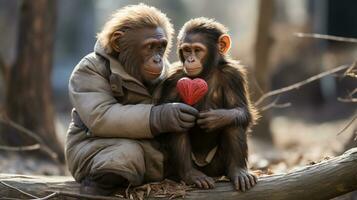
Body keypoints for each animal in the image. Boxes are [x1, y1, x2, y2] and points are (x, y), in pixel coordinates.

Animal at [64, 4, 197, 195]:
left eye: (161, 47)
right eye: (150, 47)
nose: (157, 59)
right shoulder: (86, 70)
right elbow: (104, 114)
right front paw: (169, 115)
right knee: (123, 152)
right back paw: (95, 184)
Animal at [160, 18, 258, 191]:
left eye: (197, 50)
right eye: (187, 50)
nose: (190, 59)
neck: (206, 72)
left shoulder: (234, 75)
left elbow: (243, 110)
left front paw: (217, 118)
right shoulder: (173, 77)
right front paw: (176, 112)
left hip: (217, 166)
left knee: (233, 122)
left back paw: (238, 171)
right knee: (178, 126)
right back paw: (191, 174)